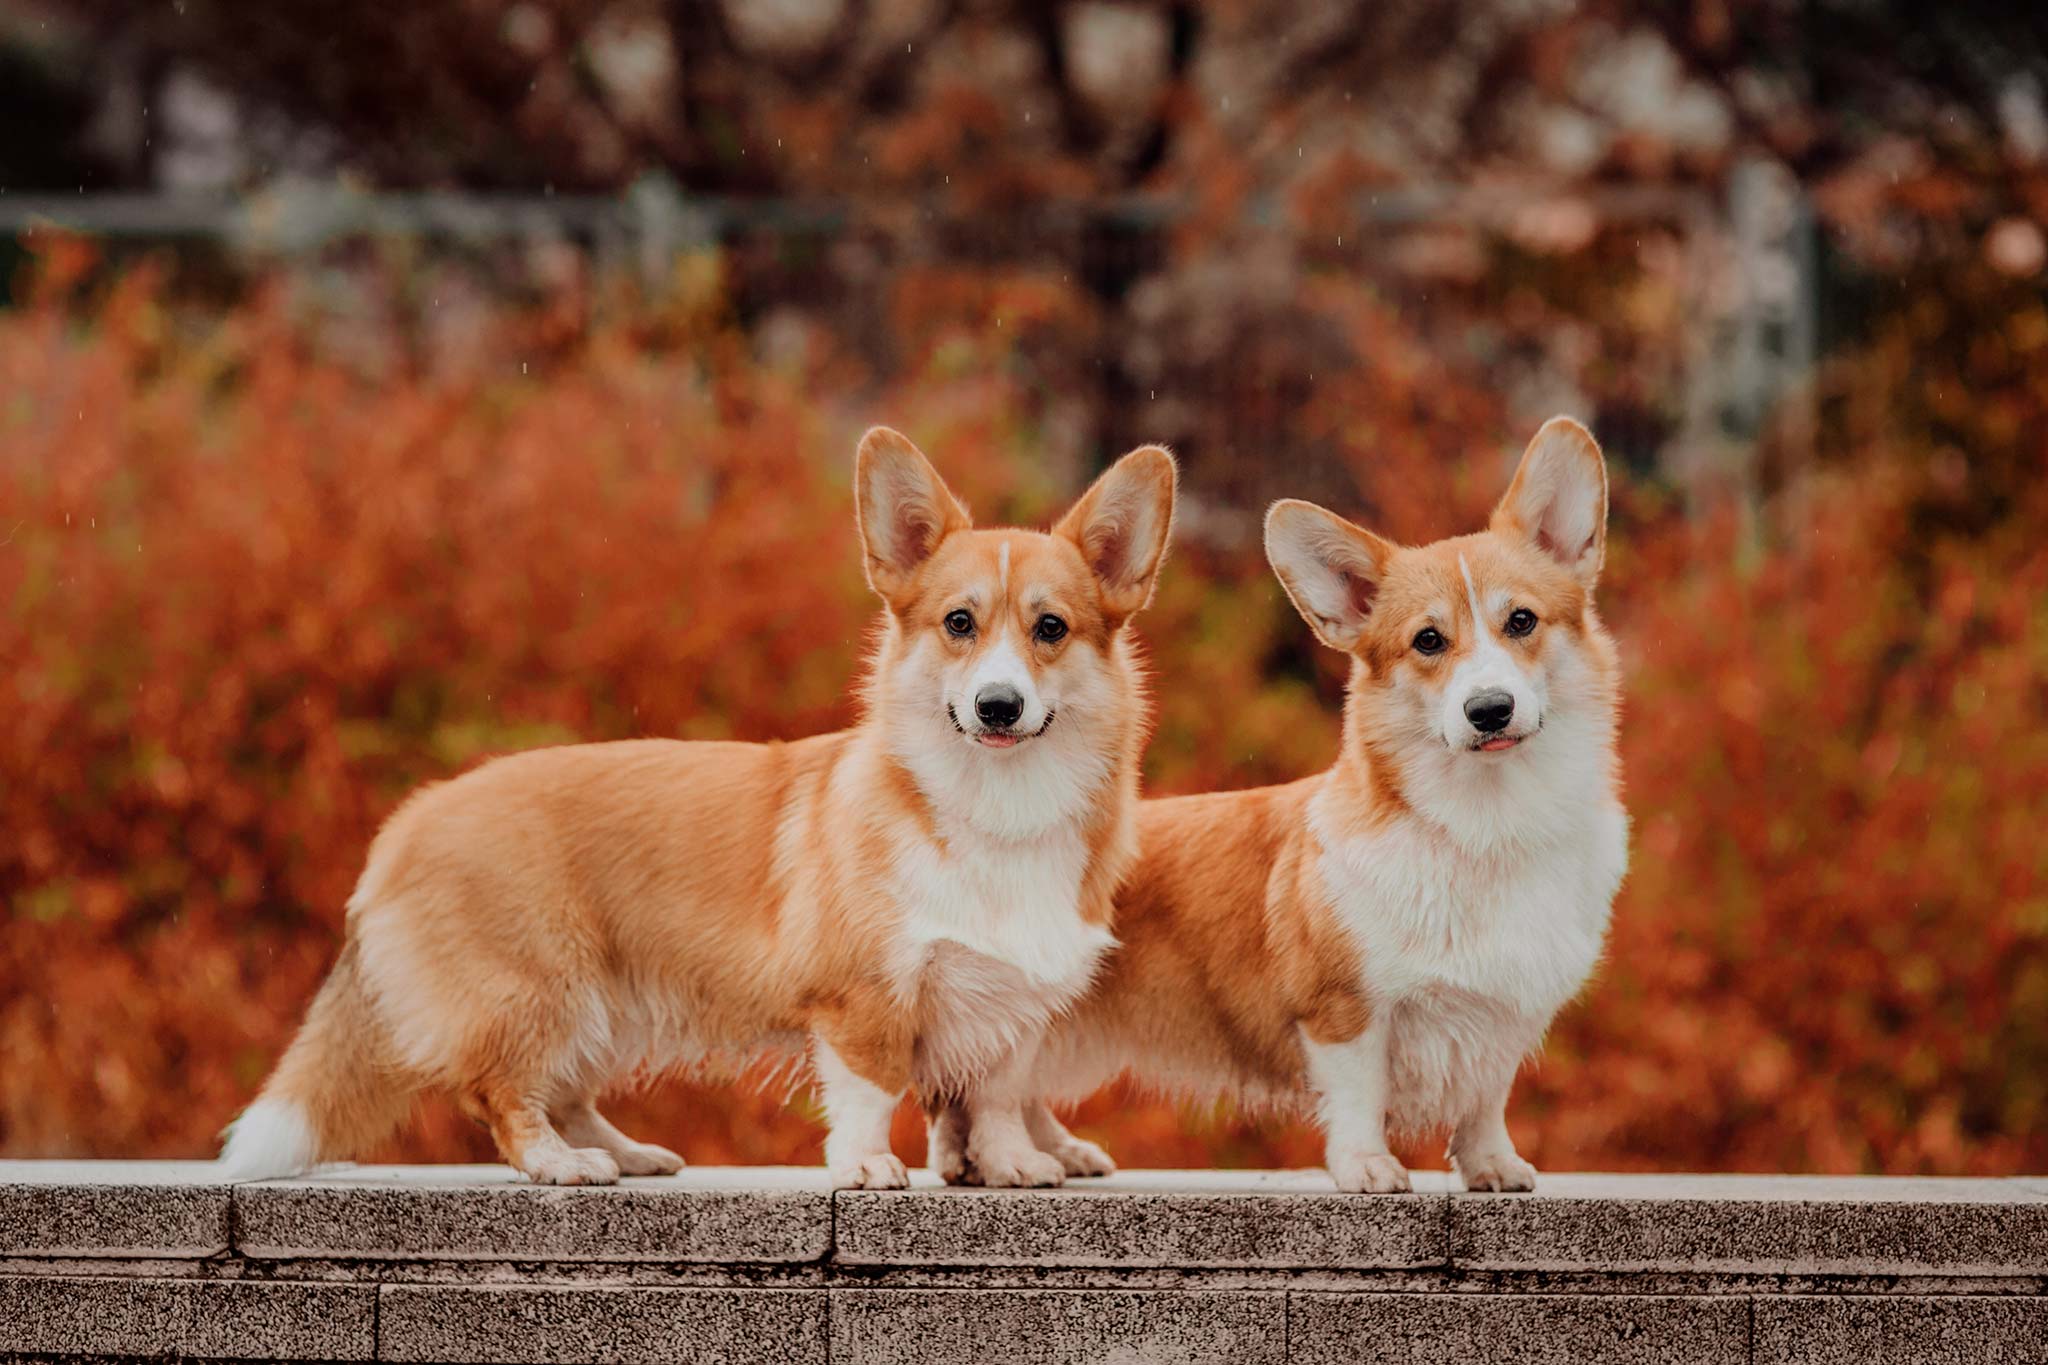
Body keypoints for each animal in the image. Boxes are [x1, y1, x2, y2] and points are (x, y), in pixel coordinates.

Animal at [216, 431, 1179, 1186]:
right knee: (504, 1094)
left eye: (1050, 629)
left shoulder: (1013, 1003)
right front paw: (869, 1167)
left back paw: (630, 1154)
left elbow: (999, 1095)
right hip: (538, 994)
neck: (998, 806)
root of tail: (404, 823)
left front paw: (1014, 1164)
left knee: (567, 1093)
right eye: (958, 623)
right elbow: (871, 1092)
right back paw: (562, 1166)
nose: (997, 706)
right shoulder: (865, 997)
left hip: (604, 1009)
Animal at [937, 419, 1622, 1195]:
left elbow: (1485, 1099)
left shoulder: (1504, 1014)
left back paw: (1057, 1154)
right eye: (1428, 640)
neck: (1487, 824)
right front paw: (1367, 1167)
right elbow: (1358, 1094)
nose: (1489, 710)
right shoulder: (1342, 1009)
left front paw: (1493, 1167)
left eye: (1523, 621)